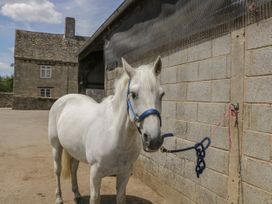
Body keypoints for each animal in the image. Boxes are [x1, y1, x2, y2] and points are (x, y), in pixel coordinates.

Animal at [47, 56, 165, 204]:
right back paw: (58, 198)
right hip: (56, 146)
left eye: (162, 94)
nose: (154, 139)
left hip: (74, 149)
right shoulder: (95, 173)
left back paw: (77, 194)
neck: (115, 136)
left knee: (74, 168)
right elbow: (95, 198)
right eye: (133, 94)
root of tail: (64, 99)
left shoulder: (124, 173)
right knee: (57, 170)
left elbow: (120, 198)